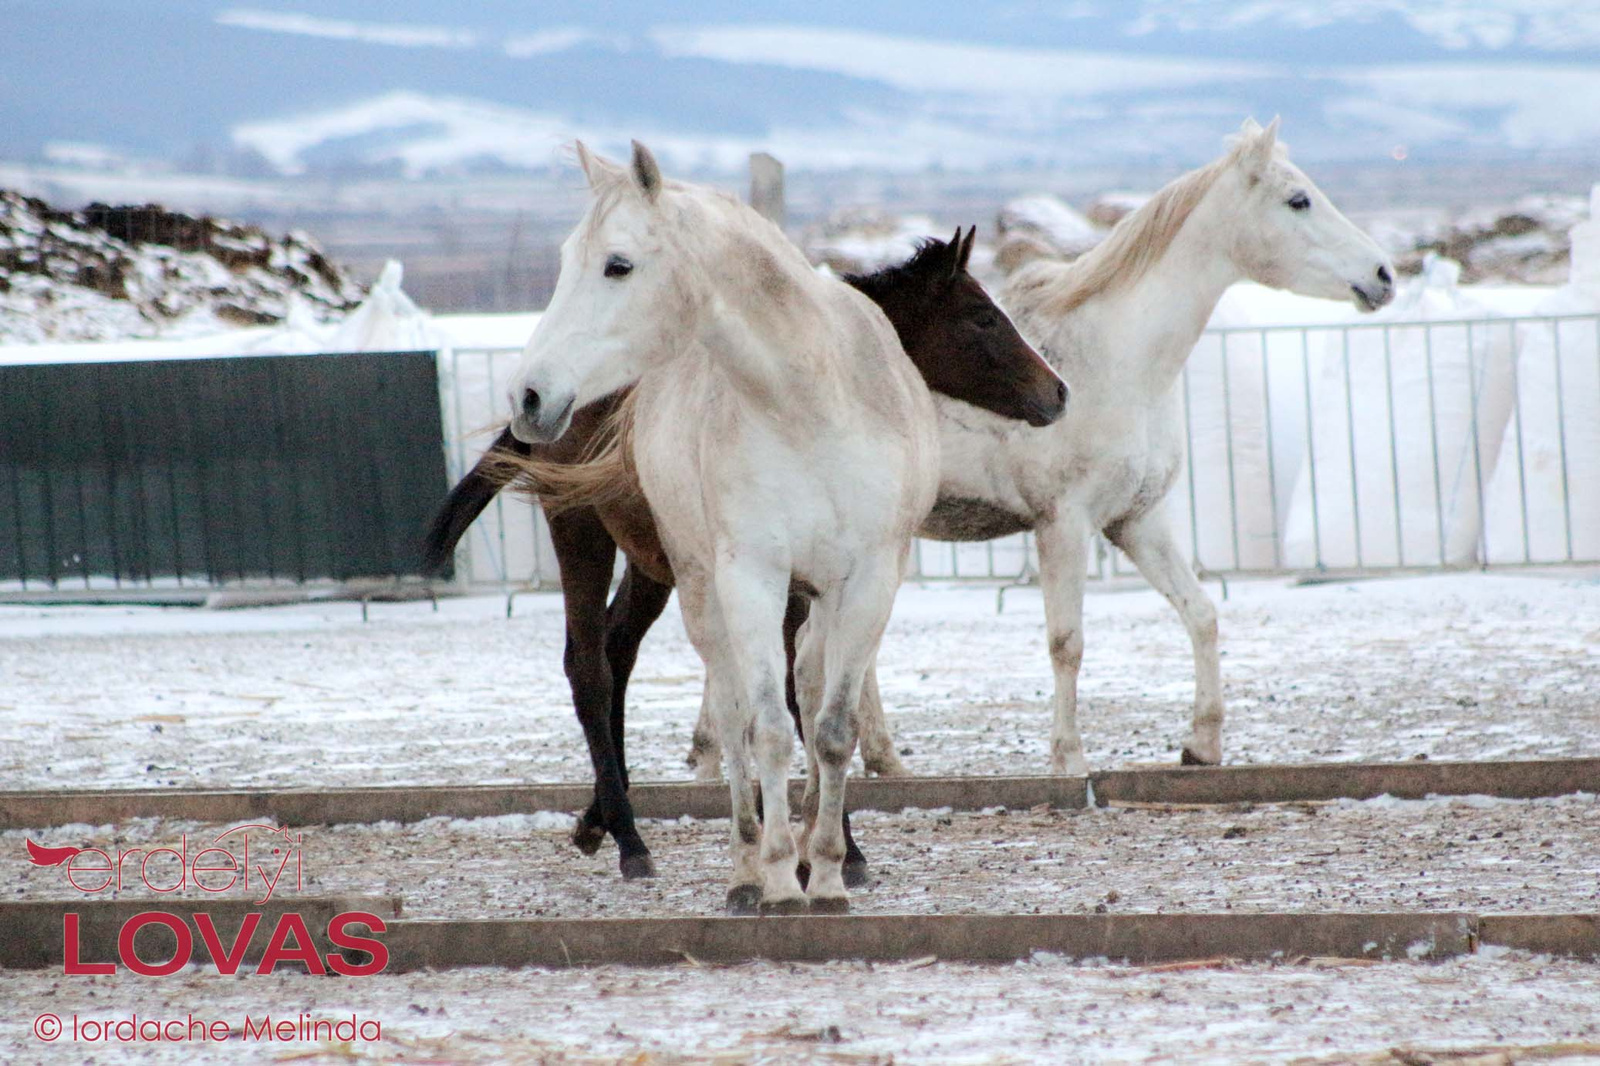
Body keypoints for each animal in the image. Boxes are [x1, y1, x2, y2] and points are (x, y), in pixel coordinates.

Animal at [425, 230, 1068, 877]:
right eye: (983, 316)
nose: (1057, 392)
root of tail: (555, 396)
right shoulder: (773, 580)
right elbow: (784, 694)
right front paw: (824, 846)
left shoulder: (816, 583)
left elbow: (807, 691)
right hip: (579, 532)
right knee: (589, 667)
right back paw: (629, 840)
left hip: (655, 566)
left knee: (618, 650)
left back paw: (596, 819)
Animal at [870, 118, 1395, 771]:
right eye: (1298, 200)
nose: (1383, 275)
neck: (1116, 360)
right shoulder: (1064, 525)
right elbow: (1066, 643)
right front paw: (1069, 761)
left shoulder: (1137, 520)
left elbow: (1201, 614)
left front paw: (1202, 743)